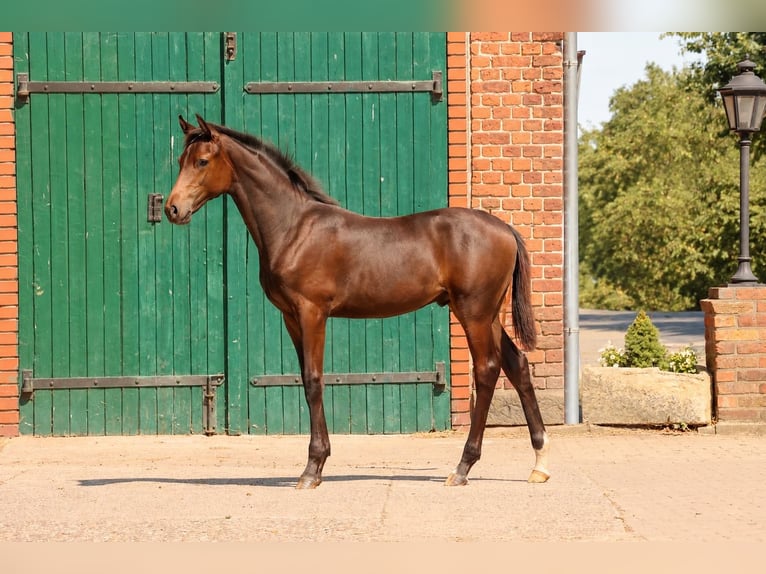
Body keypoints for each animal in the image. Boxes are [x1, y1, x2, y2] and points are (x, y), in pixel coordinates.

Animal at [165, 114, 550, 489]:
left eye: (202, 161)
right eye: (181, 160)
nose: (172, 209)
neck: (294, 228)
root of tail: (504, 229)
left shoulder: (312, 313)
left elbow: (313, 380)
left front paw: (312, 469)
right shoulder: (291, 318)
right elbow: (306, 379)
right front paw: (317, 463)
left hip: (473, 312)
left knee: (487, 370)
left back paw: (462, 467)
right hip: (490, 315)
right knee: (517, 365)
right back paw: (539, 462)